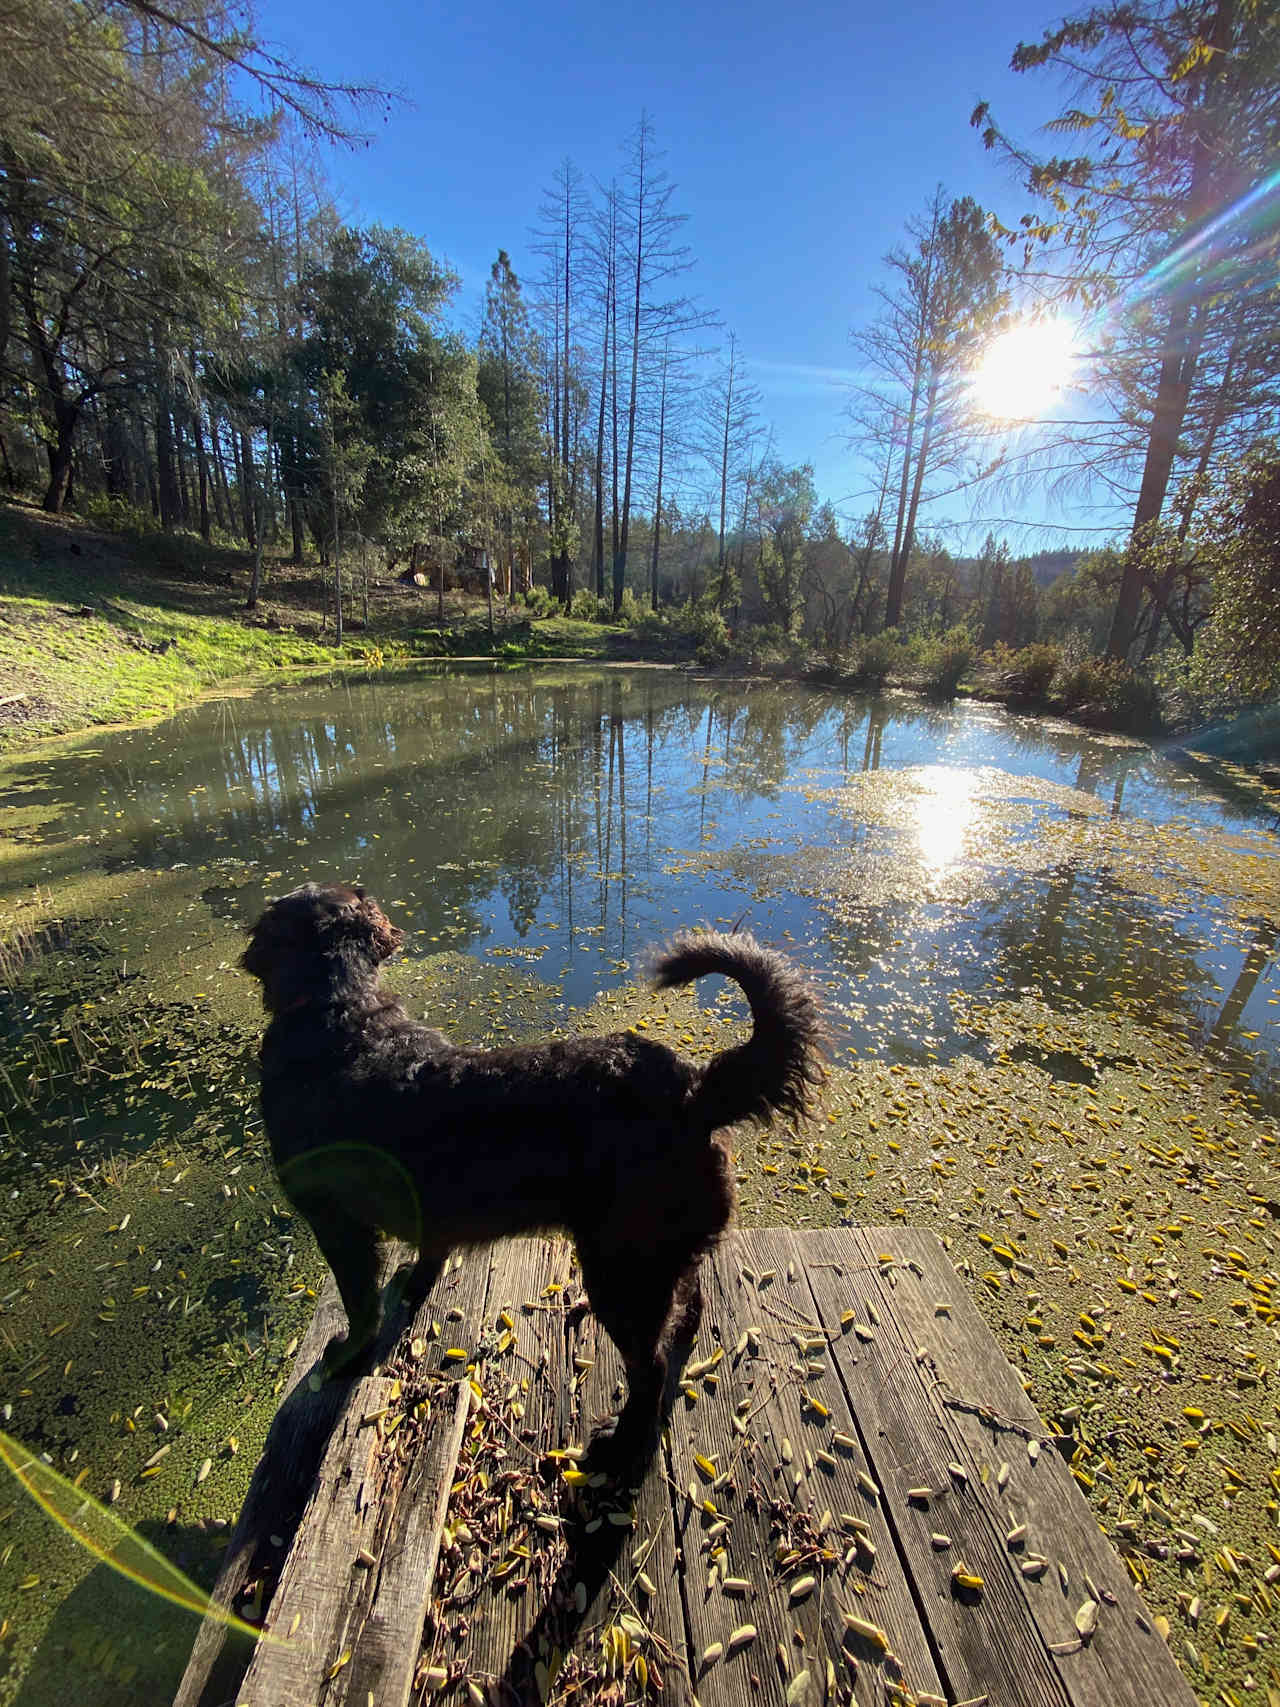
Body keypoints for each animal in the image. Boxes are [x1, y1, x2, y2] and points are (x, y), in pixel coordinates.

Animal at [242, 887, 822, 1474]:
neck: (342, 1017)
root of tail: (695, 1091)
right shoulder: (424, 1209)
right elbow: (428, 1254)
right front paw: (414, 1283)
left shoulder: (334, 1220)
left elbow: (360, 1305)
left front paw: (342, 1356)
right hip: (659, 1252)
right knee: (689, 1305)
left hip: (621, 1269)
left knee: (650, 1370)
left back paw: (619, 1446)